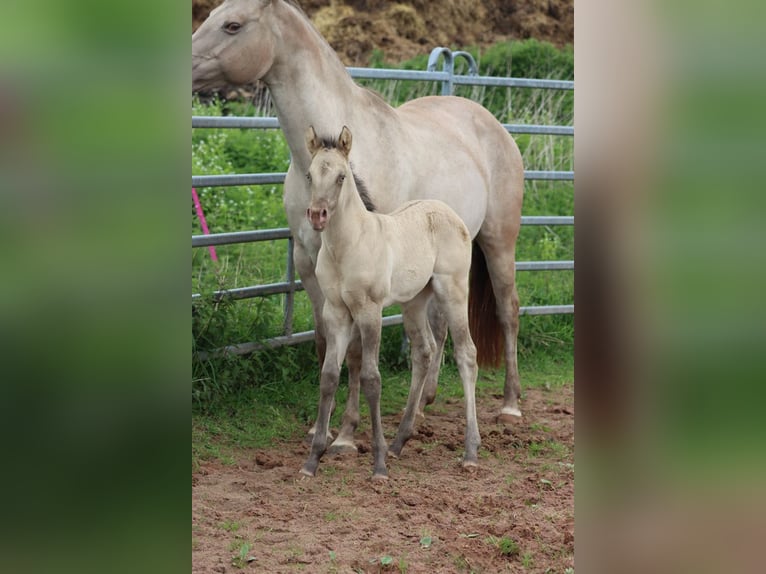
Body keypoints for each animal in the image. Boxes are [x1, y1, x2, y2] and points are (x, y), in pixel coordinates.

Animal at [300, 125, 480, 479]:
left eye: (341, 177)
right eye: (311, 175)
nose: (317, 215)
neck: (348, 245)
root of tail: (451, 214)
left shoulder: (369, 311)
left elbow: (371, 379)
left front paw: (379, 465)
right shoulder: (335, 312)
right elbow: (329, 376)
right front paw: (313, 460)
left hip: (452, 291)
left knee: (467, 354)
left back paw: (469, 451)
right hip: (414, 301)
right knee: (423, 352)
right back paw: (400, 441)